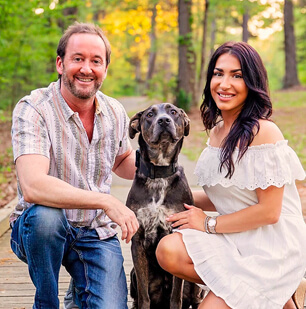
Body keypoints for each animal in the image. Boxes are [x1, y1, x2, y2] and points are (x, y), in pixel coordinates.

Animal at [125, 103, 204, 308]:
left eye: (173, 112)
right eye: (149, 115)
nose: (163, 120)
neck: (159, 173)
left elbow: (176, 296)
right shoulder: (138, 242)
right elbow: (144, 295)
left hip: (195, 286)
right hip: (133, 274)